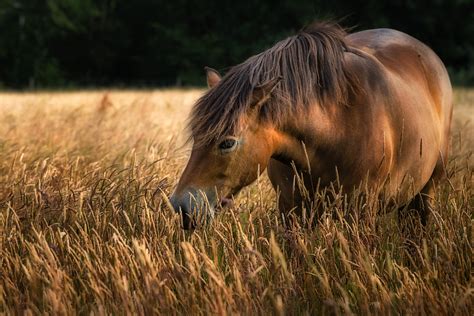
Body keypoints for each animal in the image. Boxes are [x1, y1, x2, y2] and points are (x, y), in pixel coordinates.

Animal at [169, 21, 452, 230]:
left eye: (227, 143)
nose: (181, 206)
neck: (335, 130)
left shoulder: (360, 212)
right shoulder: (290, 210)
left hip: (425, 192)